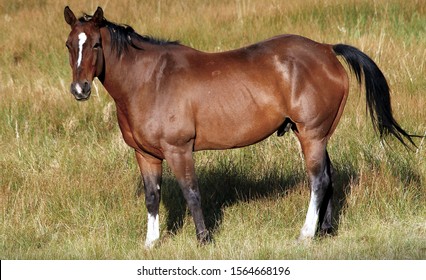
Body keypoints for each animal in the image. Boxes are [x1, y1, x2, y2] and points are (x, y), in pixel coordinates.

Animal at [63, 6, 416, 247]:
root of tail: (327, 49)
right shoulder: (145, 155)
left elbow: (192, 193)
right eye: (69, 44)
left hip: (312, 135)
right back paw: (325, 231)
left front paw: (204, 239)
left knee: (318, 180)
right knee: (329, 177)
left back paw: (305, 234)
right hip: (315, 135)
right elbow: (152, 197)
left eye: (95, 44)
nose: (80, 89)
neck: (150, 80)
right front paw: (150, 243)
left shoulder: (179, 150)